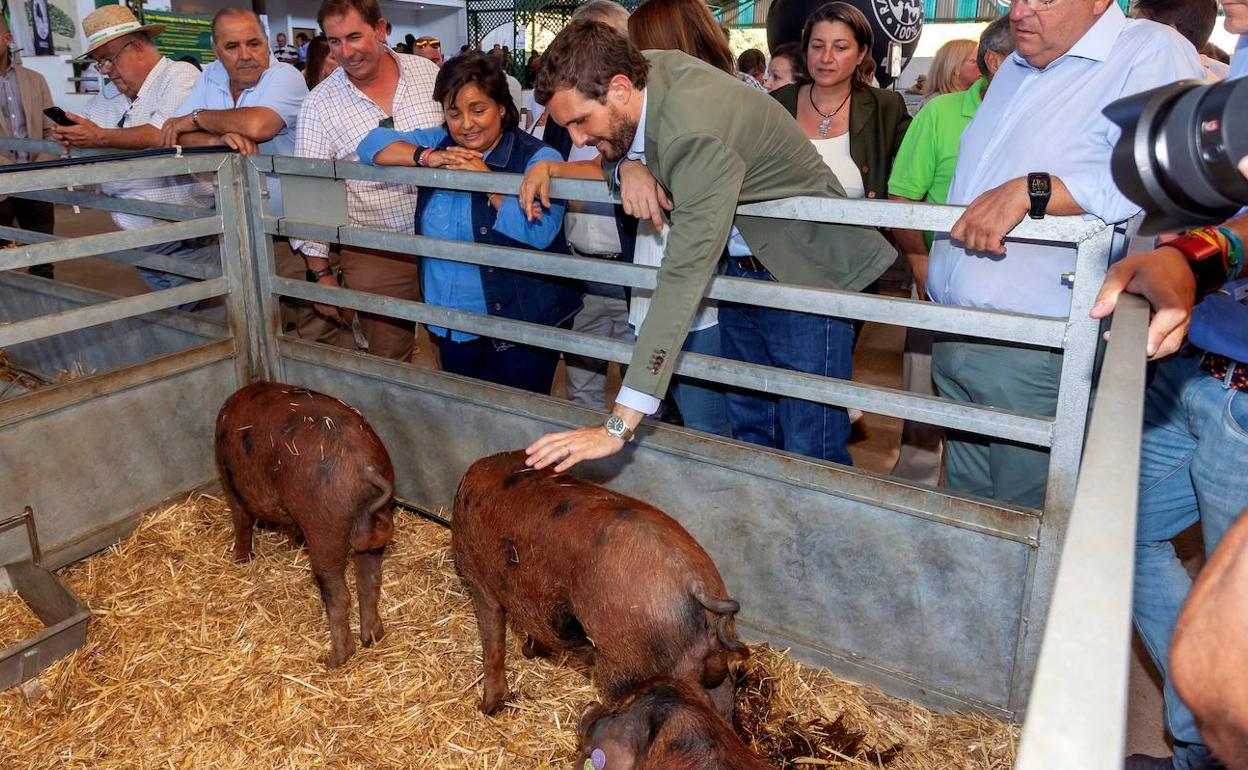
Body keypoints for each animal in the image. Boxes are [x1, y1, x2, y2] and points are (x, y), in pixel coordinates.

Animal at [212, 381, 391, 663]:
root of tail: (366, 470)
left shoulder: (232, 486)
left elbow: (241, 522)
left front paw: (240, 560)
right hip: (371, 532)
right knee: (370, 581)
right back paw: (372, 638)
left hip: (324, 530)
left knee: (339, 596)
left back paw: (332, 661)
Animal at [449, 449, 743, 713]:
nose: (486, 708)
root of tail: (694, 583)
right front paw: (530, 652)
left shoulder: (480, 580)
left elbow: (493, 643)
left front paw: (489, 708)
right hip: (714, 666)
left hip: (631, 663)